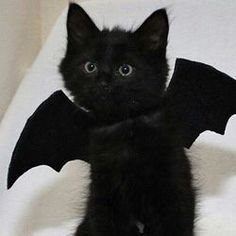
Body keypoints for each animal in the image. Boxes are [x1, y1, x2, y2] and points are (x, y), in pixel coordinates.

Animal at [60, 3, 195, 236]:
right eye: (90, 67)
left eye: (125, 70)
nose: (103, 82)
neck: (124, 128)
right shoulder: (102, 196)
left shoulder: (175, 189)